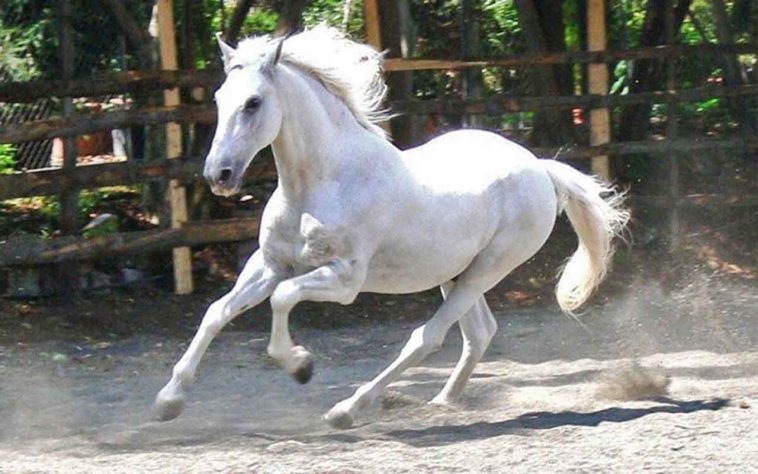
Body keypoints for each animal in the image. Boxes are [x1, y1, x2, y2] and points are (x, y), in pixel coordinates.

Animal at [154, 26, 629, 429]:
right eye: (219, 98)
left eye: (253, 102)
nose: (219, 175)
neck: (318, 184)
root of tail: (539, 168)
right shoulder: (269, 264)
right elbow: (217, 312)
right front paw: (168, 402)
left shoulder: (344, 279)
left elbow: (283, 299)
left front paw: (301, 365)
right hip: (454, 273)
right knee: (478, 332)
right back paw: (443, 400)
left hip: (488, 268)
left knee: (428, 337)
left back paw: (348, 410)